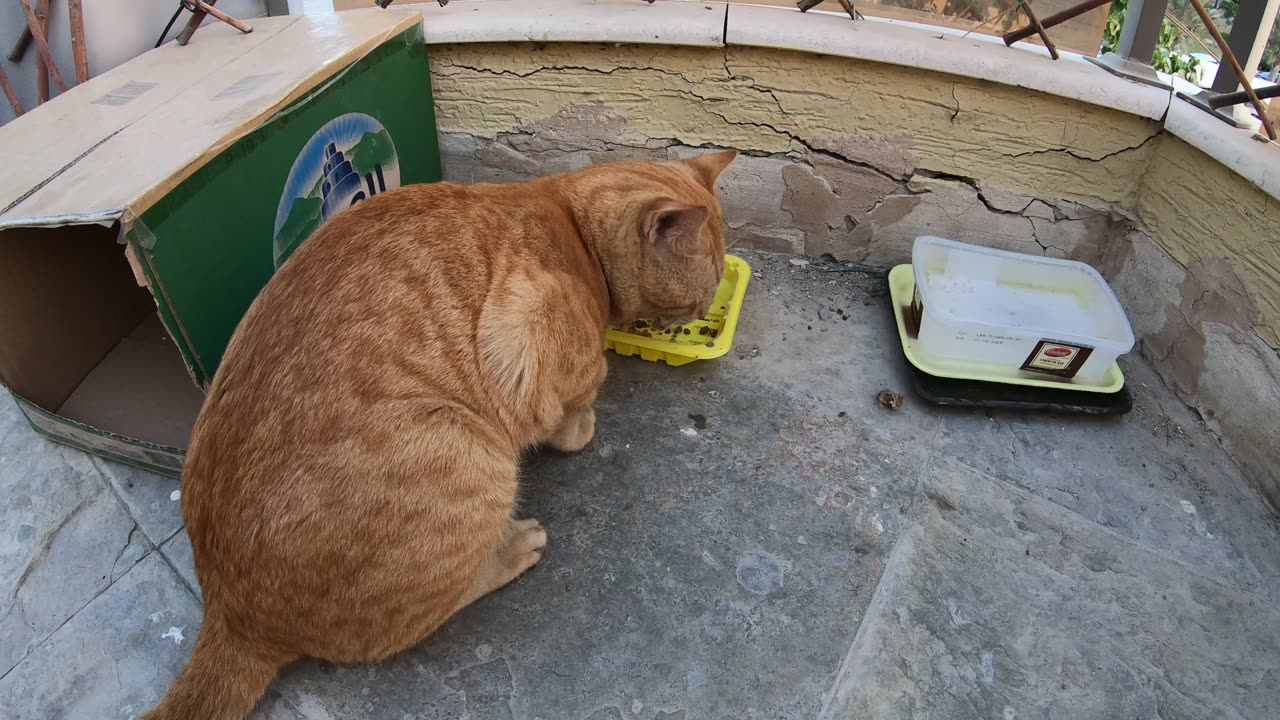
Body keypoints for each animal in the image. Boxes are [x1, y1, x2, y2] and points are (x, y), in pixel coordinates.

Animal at [141, 148, 737, 712]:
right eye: (696, 297)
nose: (702, 312)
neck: (571, 227)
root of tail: (229, 614)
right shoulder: (533, 339)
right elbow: (571, 413)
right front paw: (583, 424)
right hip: (473, 456)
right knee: (411, 621)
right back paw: (514, 548)